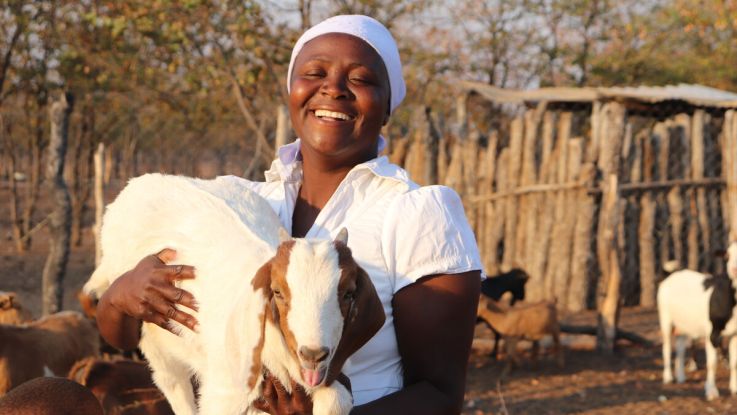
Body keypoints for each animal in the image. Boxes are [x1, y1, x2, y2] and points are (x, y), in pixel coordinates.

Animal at [83, 174, 385, 415]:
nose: (313, 353)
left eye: (348, 294)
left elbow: (335, 401)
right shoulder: (225, 391)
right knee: (172, 382)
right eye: (277, 292)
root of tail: (138, 184)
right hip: (153, 333)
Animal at [658, 240, 737, 400]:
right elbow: (712, 364)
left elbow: (734, 362)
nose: (734, 269)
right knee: (667, 346)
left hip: (684, 324)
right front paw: (711, 392)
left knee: (680, 347)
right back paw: (668, 377)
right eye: (727, 255)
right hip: (665, 318)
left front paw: (734, 388)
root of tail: (671, 275)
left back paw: (681, 377)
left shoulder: (735, 333)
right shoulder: (712, 333)